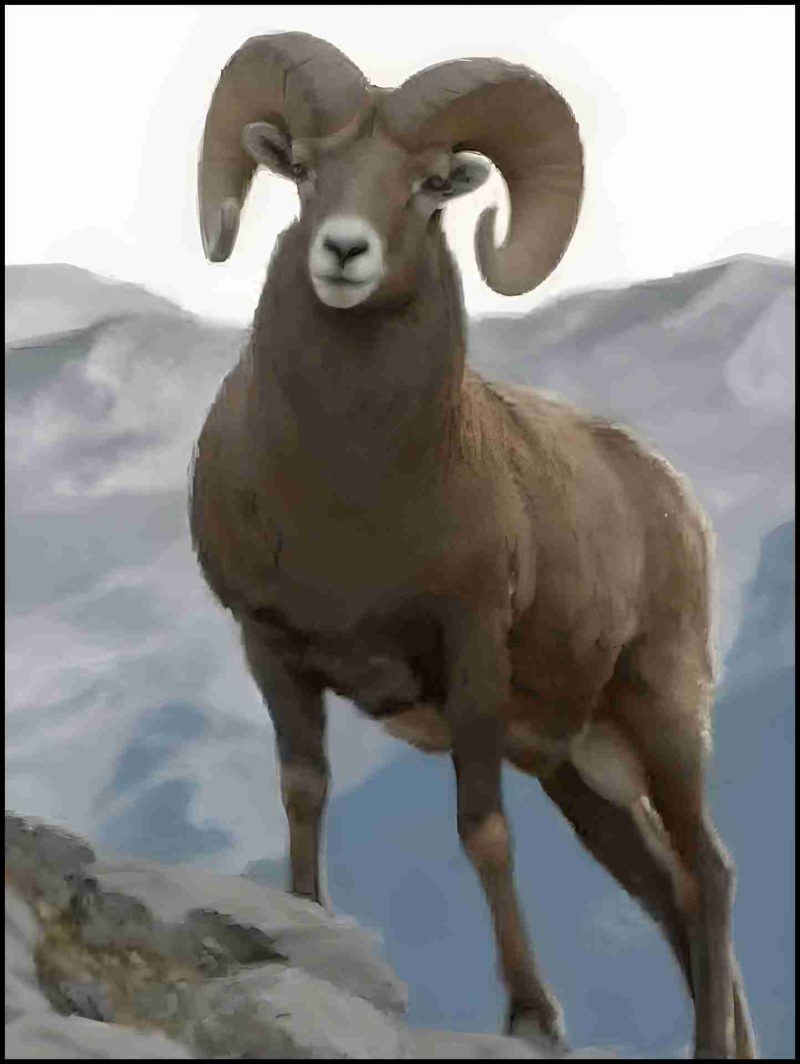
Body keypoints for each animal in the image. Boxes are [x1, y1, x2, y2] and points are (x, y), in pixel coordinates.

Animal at [189, 31, 756, 1058]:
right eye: (308, 170)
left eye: (426, 186)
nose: (343, 251)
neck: (352, 502)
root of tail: (668, 492)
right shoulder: (272, 647)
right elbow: (304, 790)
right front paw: (304, 915)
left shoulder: (473, 656)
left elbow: (483, 832)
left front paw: (532, 1015)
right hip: (582, 773)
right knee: (669, 894)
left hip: (661, 715)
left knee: (710, 875)